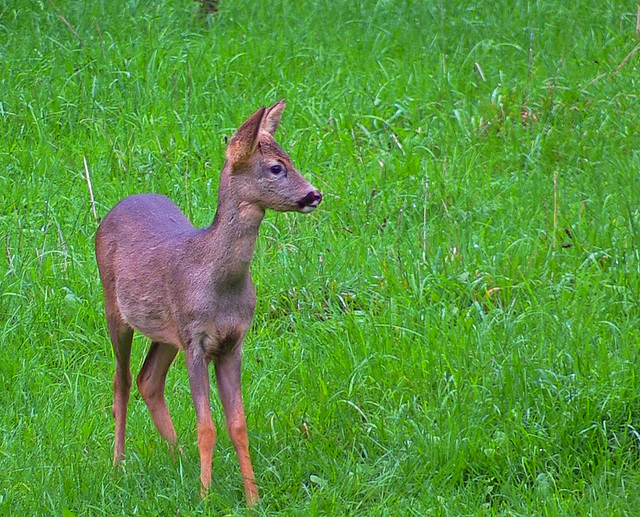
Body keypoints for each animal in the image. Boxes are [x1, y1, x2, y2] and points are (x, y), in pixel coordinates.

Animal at [95, 100, 322, 504]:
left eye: (290, 159)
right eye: (275, 167)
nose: (315, 194)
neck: (220, 285)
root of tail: (115, 209)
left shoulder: (231, 343)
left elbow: (238, 425)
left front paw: (252, 498)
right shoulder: (196, 342)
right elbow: (207, 426)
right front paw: (204, 496)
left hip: (168, 333)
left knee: (148, 380)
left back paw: (179, 460)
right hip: (115, 310)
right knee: (121, 381)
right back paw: (119, 466)